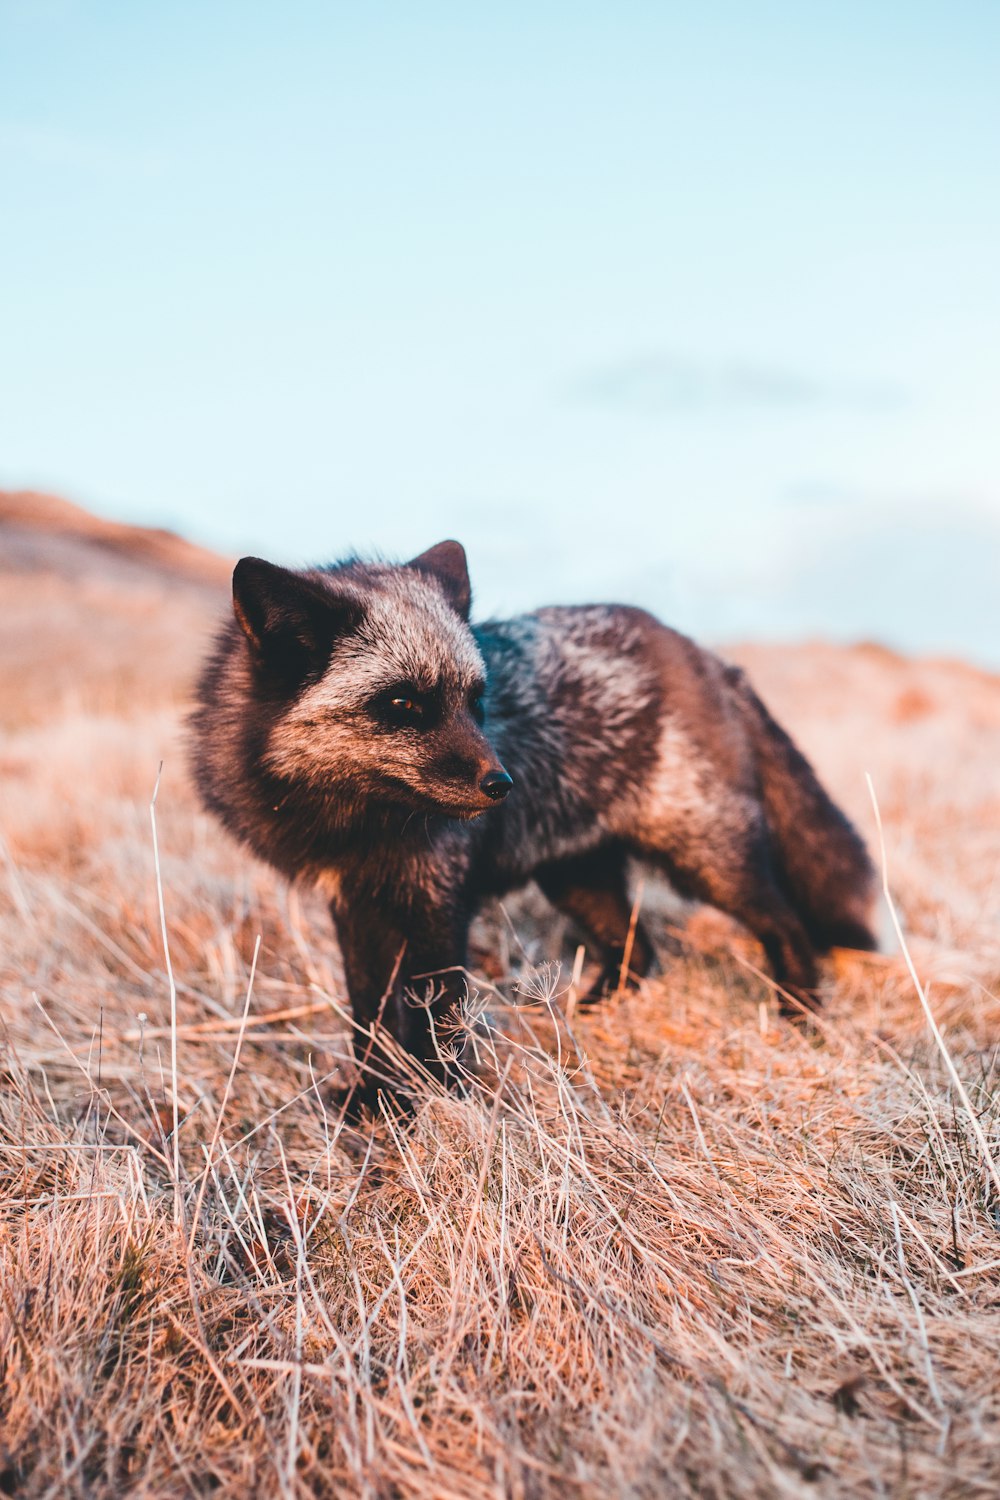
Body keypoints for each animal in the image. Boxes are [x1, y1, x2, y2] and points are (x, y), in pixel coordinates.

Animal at [187, 546, 875, 1110]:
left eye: (476, 701)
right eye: (403, 704)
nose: (501, 785)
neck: (361, 827)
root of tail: (703, 652)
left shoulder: (438, 905)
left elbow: (438, 1019)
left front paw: (438, 1103)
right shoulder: (357, 908)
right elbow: (372, 1020)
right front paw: (373, 1101)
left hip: (705, 859)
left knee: (784, 924)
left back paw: (801, 1017)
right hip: (577, 879)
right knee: (638, 950)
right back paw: (587, 1018)